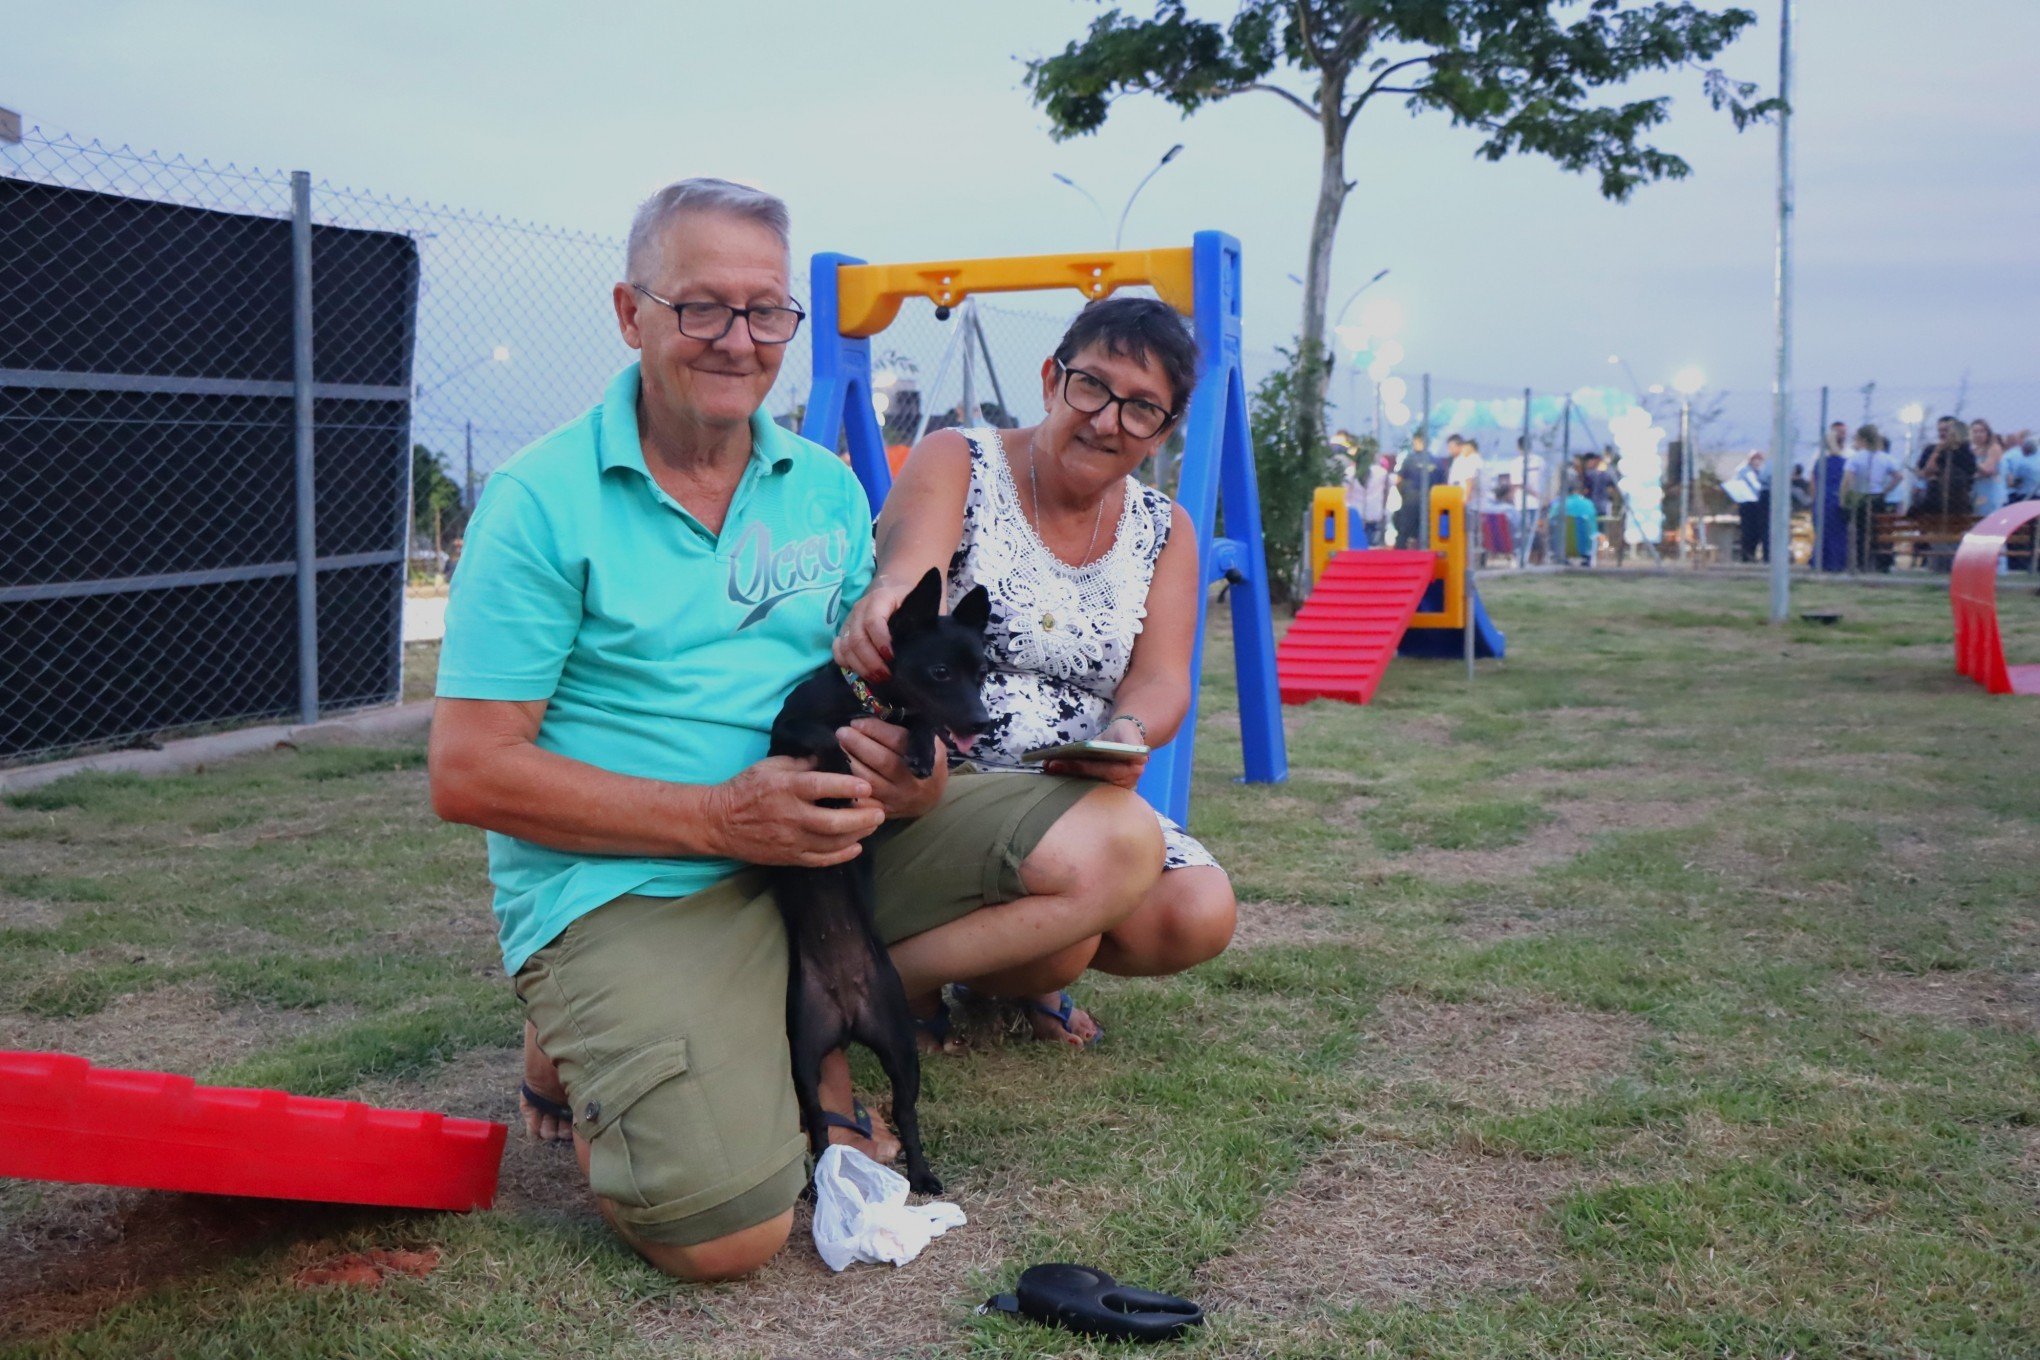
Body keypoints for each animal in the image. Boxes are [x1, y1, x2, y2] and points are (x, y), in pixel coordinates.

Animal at [767, 562, 987, 1190]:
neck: (868, 704)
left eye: (984, 674)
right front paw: (841, 764)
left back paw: (923, 1174)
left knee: (906, 1111)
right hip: (803, 1051)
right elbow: (823, 738)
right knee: (818, 1120)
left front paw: (917, 747)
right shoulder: (784, 731)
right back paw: (820, 1183)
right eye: (941, 672)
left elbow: (919, 723)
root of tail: (848, 1013)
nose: (984, 722)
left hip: (898, 1048)